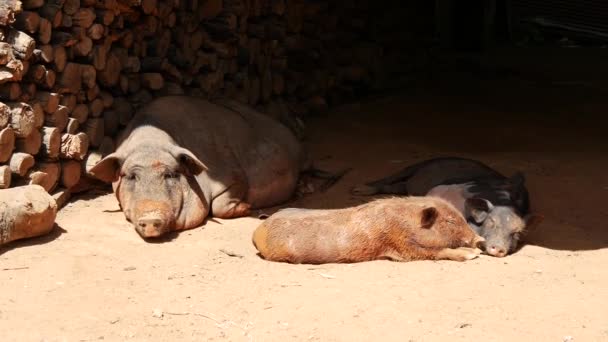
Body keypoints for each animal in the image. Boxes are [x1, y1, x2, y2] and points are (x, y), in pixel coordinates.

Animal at [89, 95, 324, 240]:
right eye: (131, 177)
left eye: (170, 174)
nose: (150, 218)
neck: (150, 143)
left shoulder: (233, 175)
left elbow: (220, 204)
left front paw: (247, 207)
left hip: (302, 153)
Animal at [252, 195, 484, 264]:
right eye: (451, 222)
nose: (480, 240)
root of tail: (258, 231)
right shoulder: (402, 246)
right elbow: (436, 252)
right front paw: (473, 254)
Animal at [350, 158, 544, 256]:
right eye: (491, 222)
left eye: (517, 233)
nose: (498, 248)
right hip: (421, 164)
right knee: (393, 177)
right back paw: (358, 189)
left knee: (397, 186)